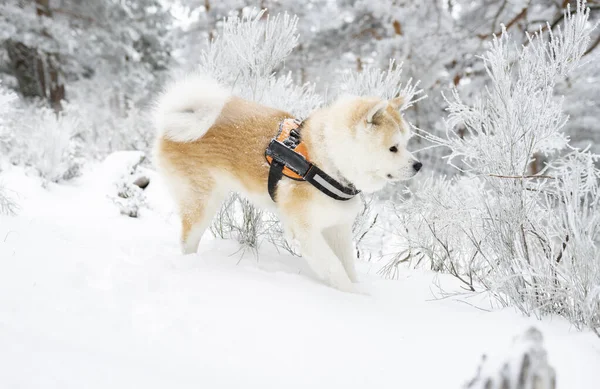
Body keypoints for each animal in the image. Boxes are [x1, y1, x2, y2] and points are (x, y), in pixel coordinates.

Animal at [152, 75, 420, 292]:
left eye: (407, 143)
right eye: (393, 148)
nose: (418, 165)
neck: (329, 160)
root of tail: (174, 121)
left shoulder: (337, 227)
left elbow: (346, 265)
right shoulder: (305, 231)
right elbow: (334, 267)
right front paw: (356, 297)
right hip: (201, 202)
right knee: (188, 240)